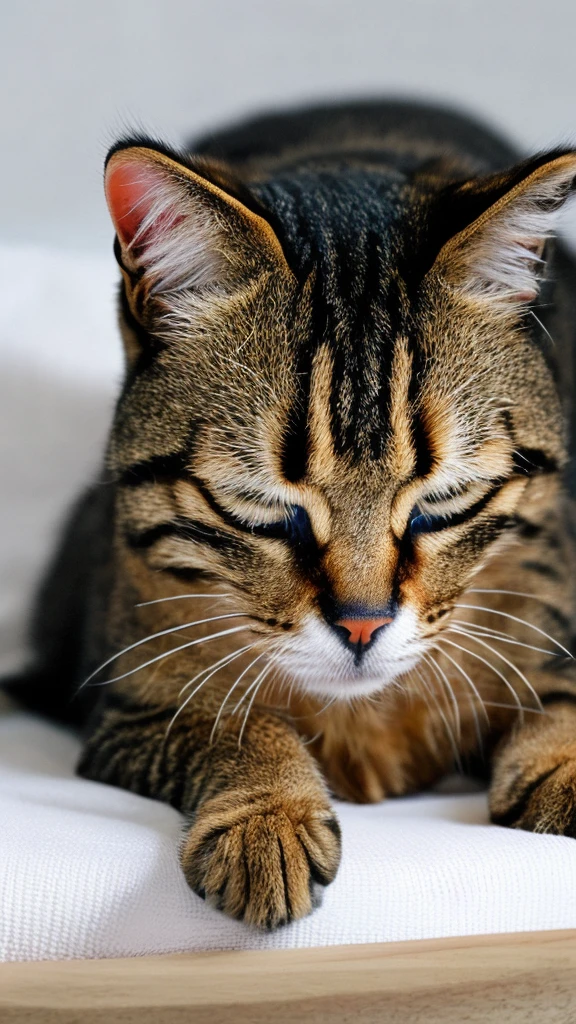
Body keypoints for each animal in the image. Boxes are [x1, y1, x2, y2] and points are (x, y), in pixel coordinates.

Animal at [7, 101, 573, 929]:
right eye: (262, 506)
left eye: (443, 502)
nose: (363, 627)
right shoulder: (130, 707)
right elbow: (231, 723)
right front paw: (266, 811)